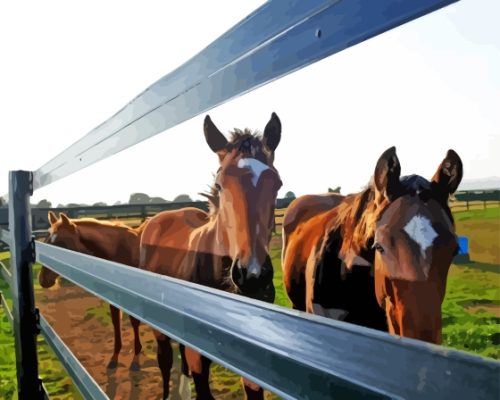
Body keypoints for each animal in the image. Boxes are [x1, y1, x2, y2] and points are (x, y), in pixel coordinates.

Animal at [38, 211, 149, 370]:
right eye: (46, 241)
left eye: (61, 244)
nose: (43, 280)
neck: (121, 252)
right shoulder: (113, 298)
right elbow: (116, 323)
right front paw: (114, 358)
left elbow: (134, 322)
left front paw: (136, 358)